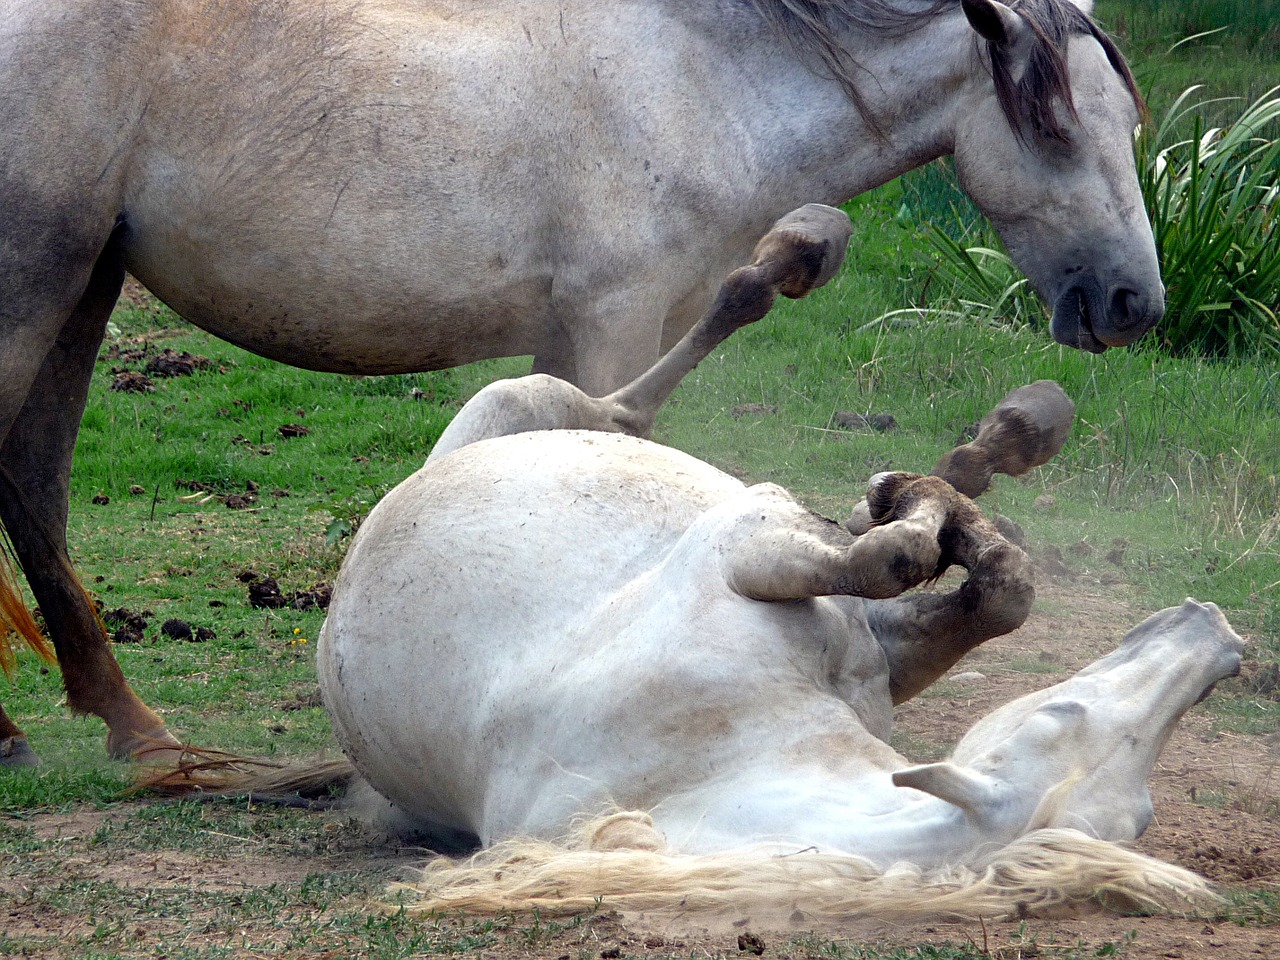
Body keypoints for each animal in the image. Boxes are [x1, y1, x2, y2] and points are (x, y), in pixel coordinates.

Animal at [2, 0, 1162, 768]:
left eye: (1130, 124)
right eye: (1054, 125)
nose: (1133, 303)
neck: (700, 89)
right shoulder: (611, 325)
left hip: (85, 283)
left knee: (34, 485)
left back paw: (129, 727)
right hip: (37, 284)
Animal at [165, 207, 1244, 921]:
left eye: (1142, 812)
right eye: (1066, 715)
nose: (1214, 631)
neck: (714, 749)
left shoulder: (861, 651)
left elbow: (992, 590)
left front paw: (951, 514)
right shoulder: (743, 540)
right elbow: (891, 552)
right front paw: (910, 504)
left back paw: (992, 436)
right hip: (526, 404)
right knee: (628, 405)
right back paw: (810, 272)